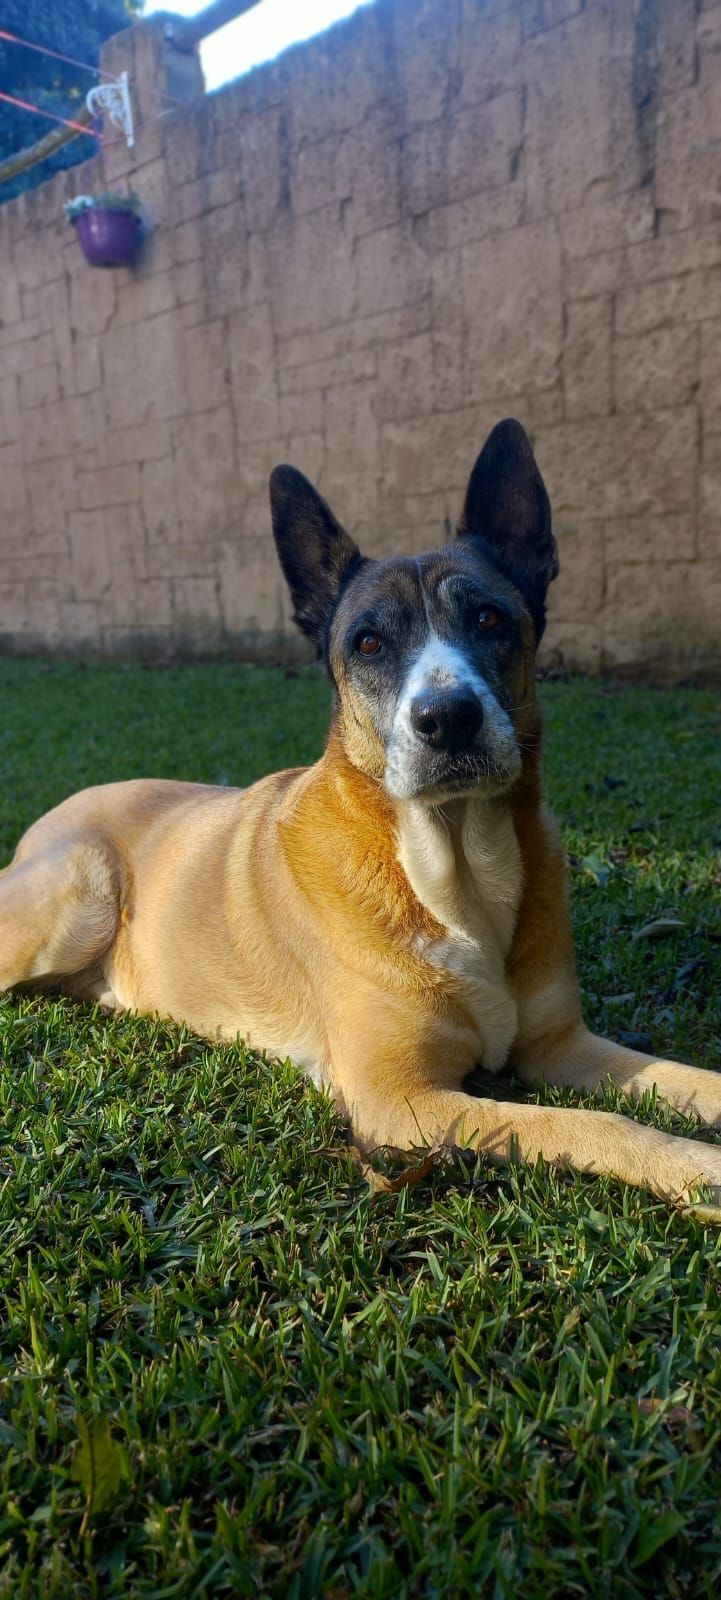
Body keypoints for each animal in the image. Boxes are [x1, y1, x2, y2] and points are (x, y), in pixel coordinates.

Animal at [2, 420, 720, 1207]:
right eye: (368, 642)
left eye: (489, 617)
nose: (448, 719)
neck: (452, 871)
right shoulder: (399, 1099)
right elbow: (588, 1125)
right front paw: (696, 1169)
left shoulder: (560, 1046)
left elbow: (684, 1080)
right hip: (81, 884)